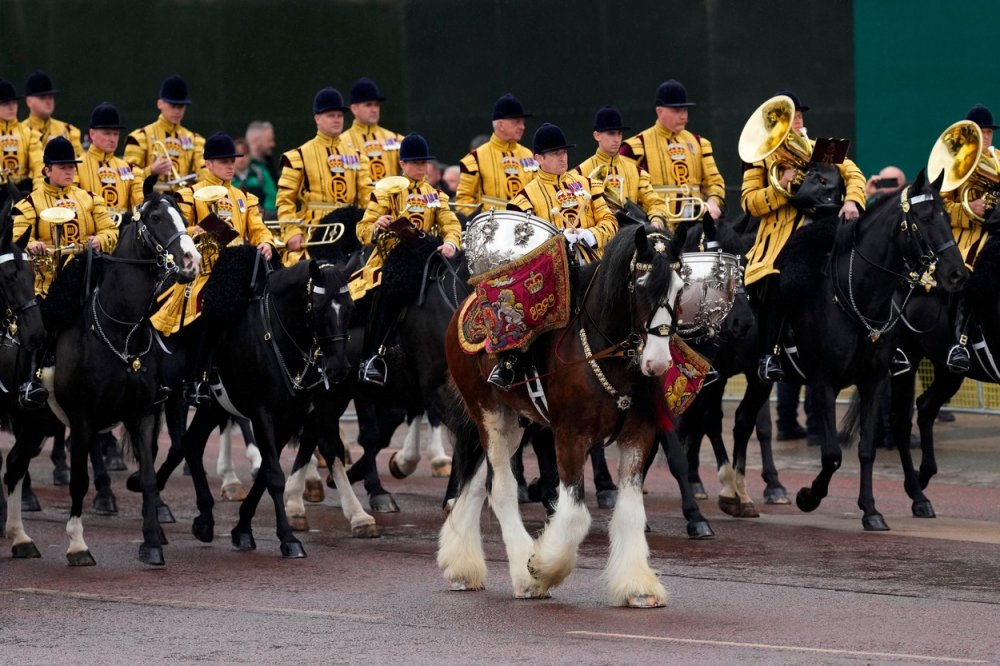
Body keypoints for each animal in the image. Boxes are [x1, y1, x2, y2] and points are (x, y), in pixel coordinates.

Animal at [438, 224, 688, 608]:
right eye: (641, 283)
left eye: (680, 286)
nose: (657, 362)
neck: (605, 355)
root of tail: (464, 306)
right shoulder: (570, 435)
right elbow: (573, 513)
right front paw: (542, 568)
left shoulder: (639, 436)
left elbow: (630, 511)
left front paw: (637, 585)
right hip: (487, 412)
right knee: (501, 488)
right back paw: (523, 576)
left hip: (514, 423)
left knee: (479, 483)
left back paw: (461, 565)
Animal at [724, 171, 964, 528]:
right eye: (923, 219)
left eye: (948, 219)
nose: (957, 274)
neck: (858, 296)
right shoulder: (823, 384)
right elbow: (832, 455)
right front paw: (808, 497)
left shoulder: (874, 381)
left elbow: (866, 449)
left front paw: (871, 510)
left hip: (756, 378)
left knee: (741, 421)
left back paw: (738, 497)